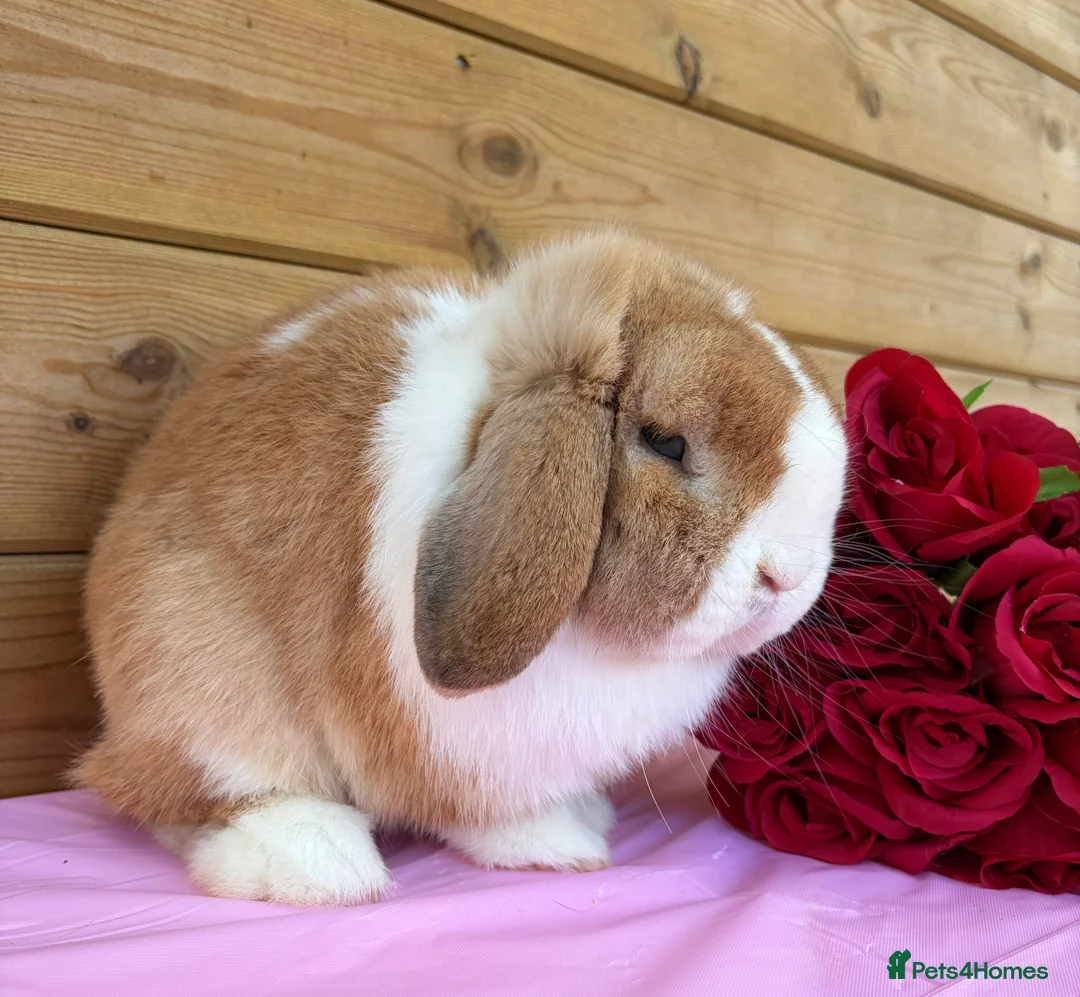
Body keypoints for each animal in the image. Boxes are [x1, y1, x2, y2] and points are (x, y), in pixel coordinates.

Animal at [74, 230, 848, 905]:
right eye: (665, 441)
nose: (787, 579)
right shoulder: (453, 746)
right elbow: (485, 810)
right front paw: (563, 847)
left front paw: (584, 816)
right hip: (194, 670)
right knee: (180, 793)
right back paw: (319, 863)